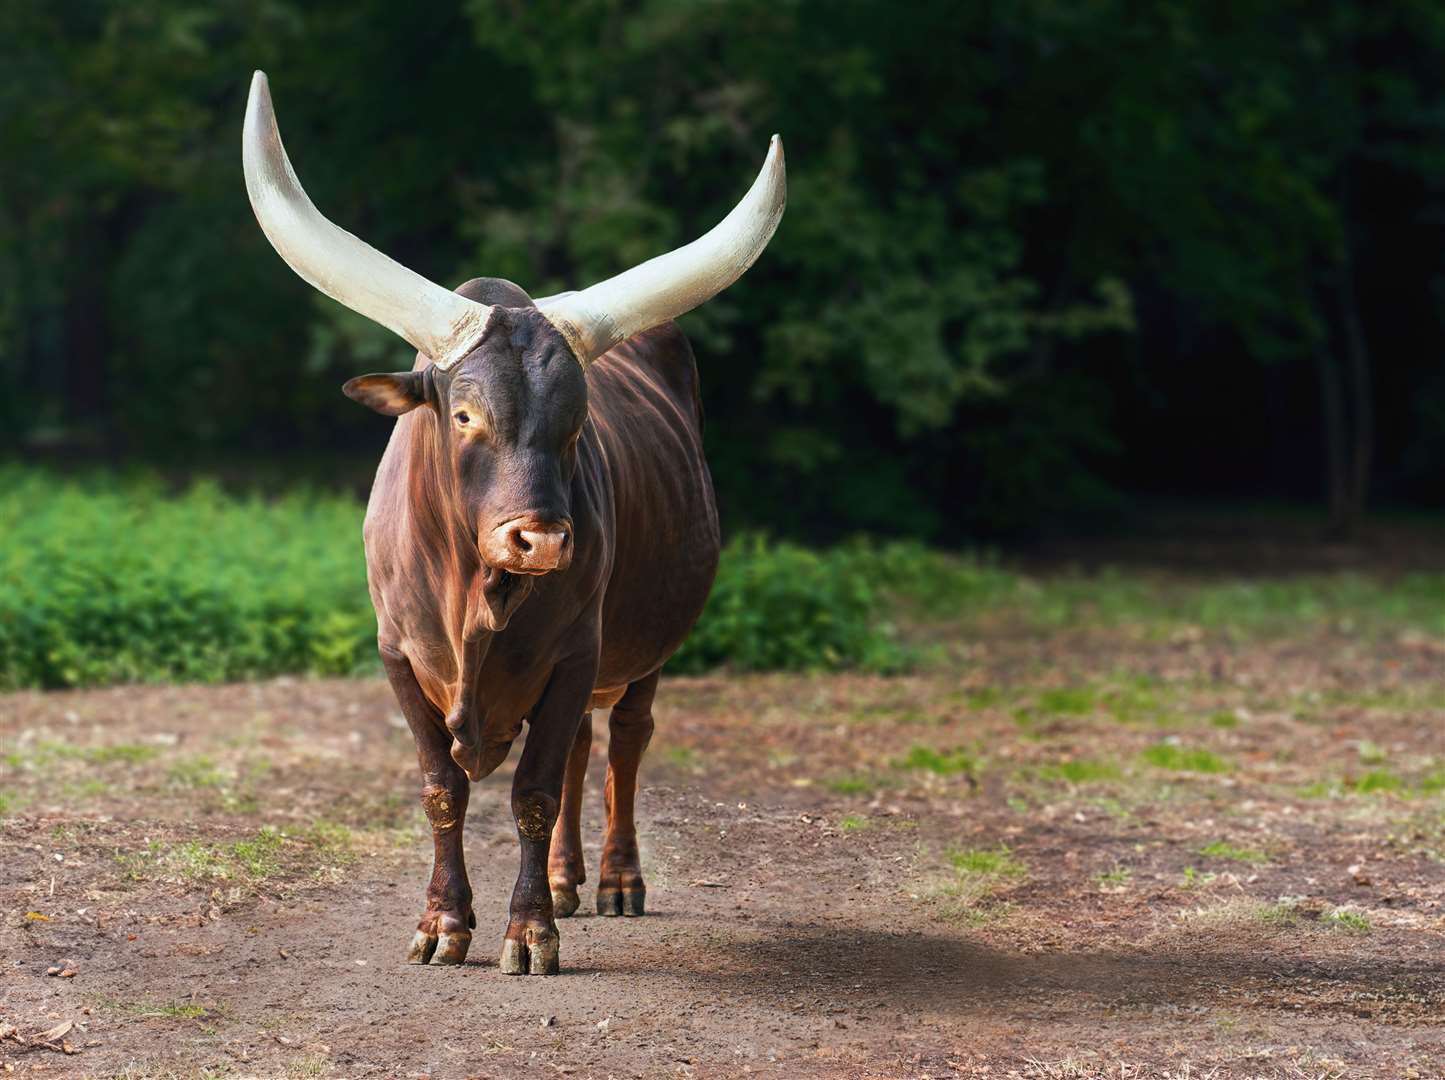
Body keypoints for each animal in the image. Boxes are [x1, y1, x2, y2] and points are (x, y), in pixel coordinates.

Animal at [239, 71, 780, 977]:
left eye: (576, 421)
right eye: (463, 415)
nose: (542, 541)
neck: (476, 595)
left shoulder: (573, 652)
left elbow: (531, 791)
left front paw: (529, 932)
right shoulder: (398, 654)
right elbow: (443, 789)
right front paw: (442, 924)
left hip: (641, 646)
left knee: (622, 739)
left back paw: (614, 881)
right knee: (583, 750)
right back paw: (565, 879)